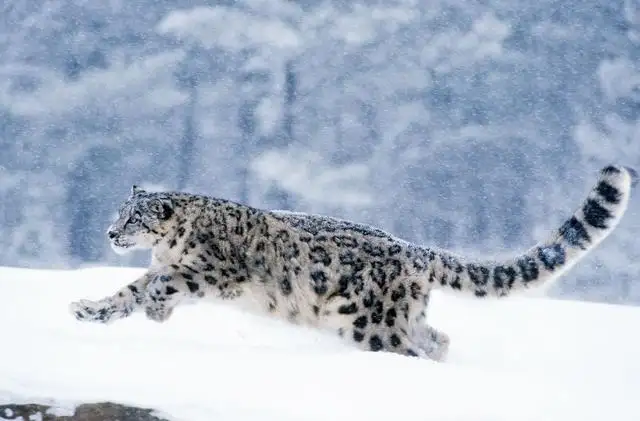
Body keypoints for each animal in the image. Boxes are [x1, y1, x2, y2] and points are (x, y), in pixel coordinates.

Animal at [69, 165, 636, 360]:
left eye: (132, 217)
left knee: (408, 350)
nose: (110, 232)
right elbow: (129, 291)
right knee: (437, 338)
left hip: (369, 322)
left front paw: (154, 308)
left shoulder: (211, 271)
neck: (167, 247)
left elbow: (164, 284)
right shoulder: (165, 268)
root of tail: (411, 249)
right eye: (118, 211)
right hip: (401, 316)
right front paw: (88, 310)